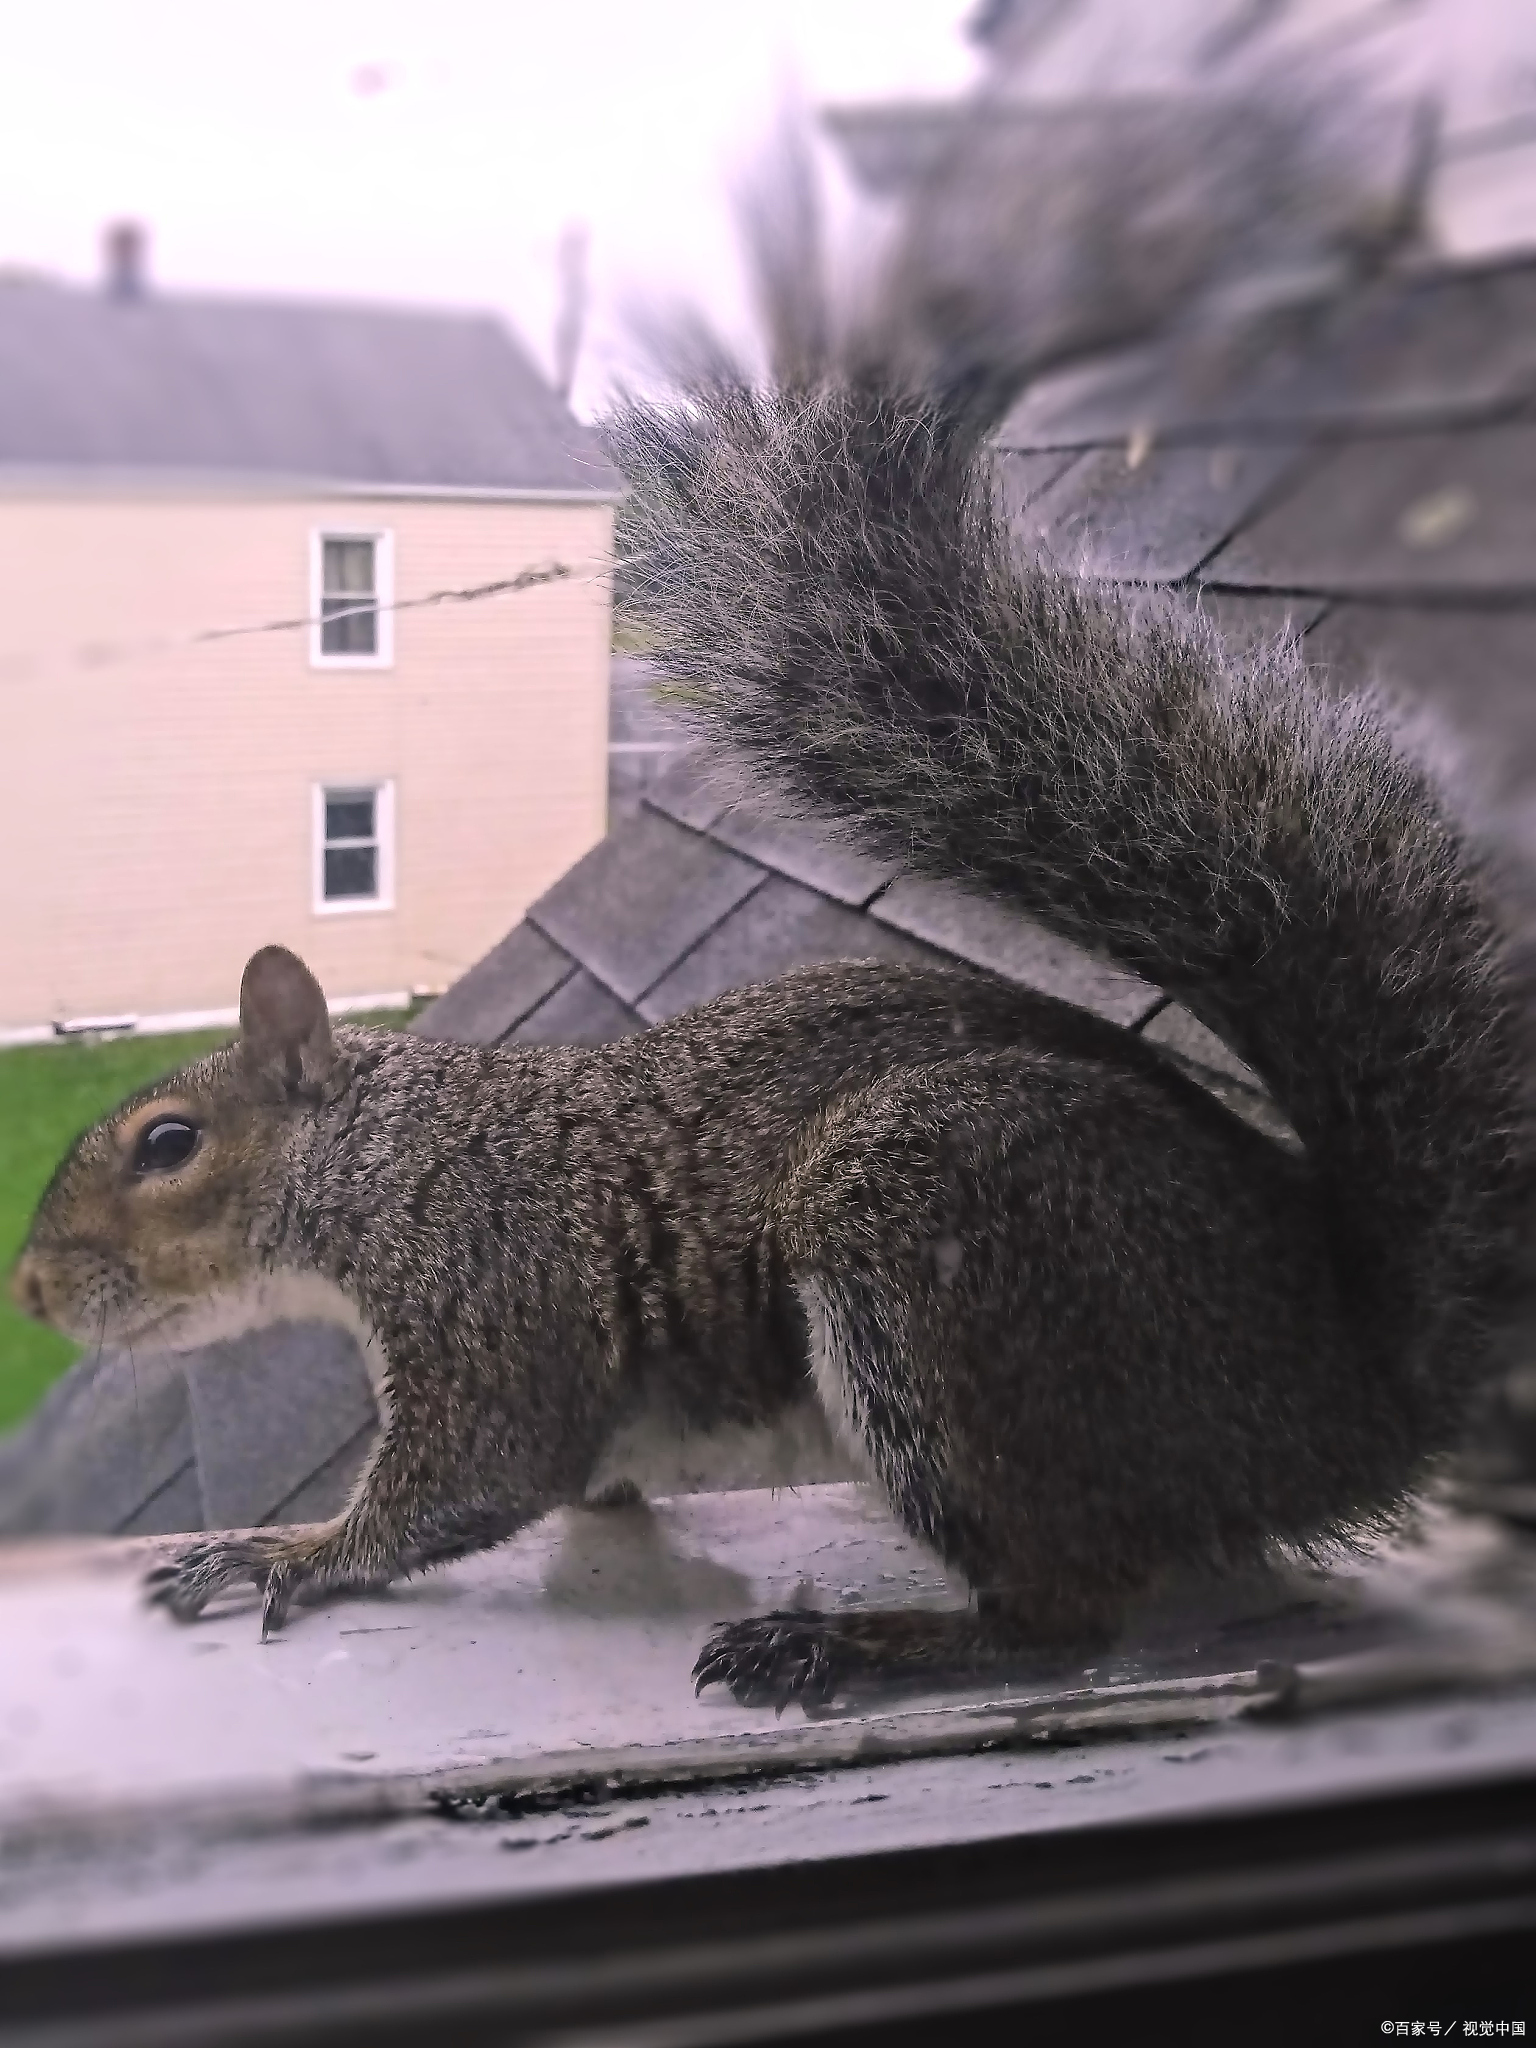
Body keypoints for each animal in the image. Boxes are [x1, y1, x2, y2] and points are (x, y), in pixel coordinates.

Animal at [9, 385, 1531, 1712]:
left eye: (167, 1144)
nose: (29, 1287)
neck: (394, 1157)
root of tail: (1346, 1386)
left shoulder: (493, 1290)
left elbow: (475, 1474)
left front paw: (290, 1551)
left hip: (928, 1218)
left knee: (1066, 1609)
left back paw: (858, 1644)